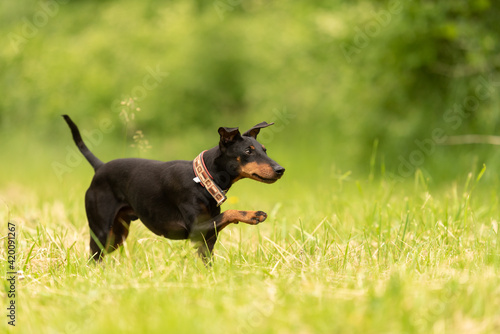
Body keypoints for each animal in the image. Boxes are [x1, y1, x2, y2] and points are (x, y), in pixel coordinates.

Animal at [61, 115, 286, 260]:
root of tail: (99, 167)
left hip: (116, 235)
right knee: (92, 257)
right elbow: (230, 212)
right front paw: (252, 215)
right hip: (101, 231)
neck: (202, 180)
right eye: (248, 151)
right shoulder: (195, 229)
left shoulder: (207, 239)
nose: (280, 169)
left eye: (265, 150)